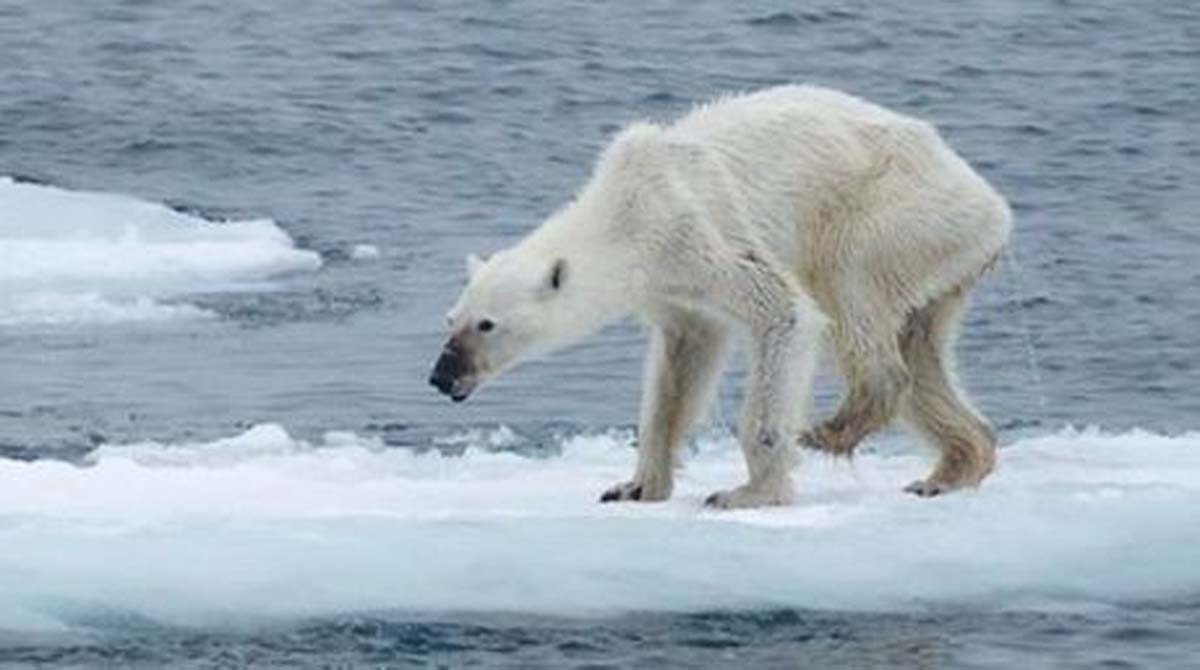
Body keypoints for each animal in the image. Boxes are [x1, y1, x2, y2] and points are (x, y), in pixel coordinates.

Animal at [427, 86, 1008, 511]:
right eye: (450, 319)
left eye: (486, 324)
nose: (441, 376)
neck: (626, 211)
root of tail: (993, 207)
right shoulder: (672, 290)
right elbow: (680, 368)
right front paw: (634, 486)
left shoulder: (696, 234)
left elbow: (786, 313)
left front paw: (746, 492)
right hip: (939, 259)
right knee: (922, 349)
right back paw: (950, 468)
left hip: (892, 214)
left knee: (852, 291)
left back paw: (833, 428)